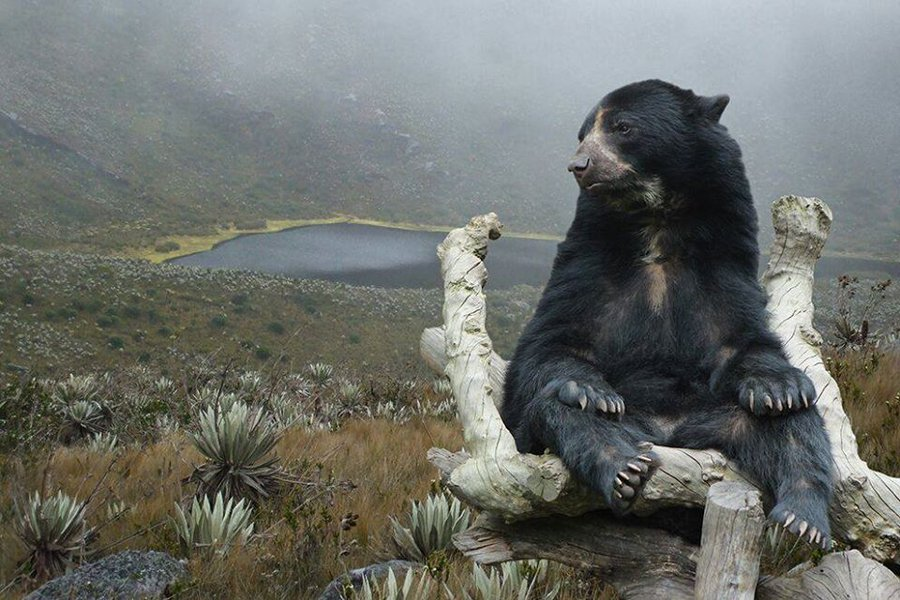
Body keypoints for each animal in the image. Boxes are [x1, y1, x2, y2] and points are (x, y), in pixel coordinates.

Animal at [501, 79, 834, 549]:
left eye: (623, 127)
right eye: (583, 133)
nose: (579, 165)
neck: (656, 220)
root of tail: (668, 432)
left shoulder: (723, 259)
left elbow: (742, 340)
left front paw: (778, 387)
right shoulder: (588, 259)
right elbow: (551, 343)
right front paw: (591, 389)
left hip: (718, 415)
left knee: (794, 428)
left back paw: (802, 519)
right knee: (565, 412)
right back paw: (624, 467)